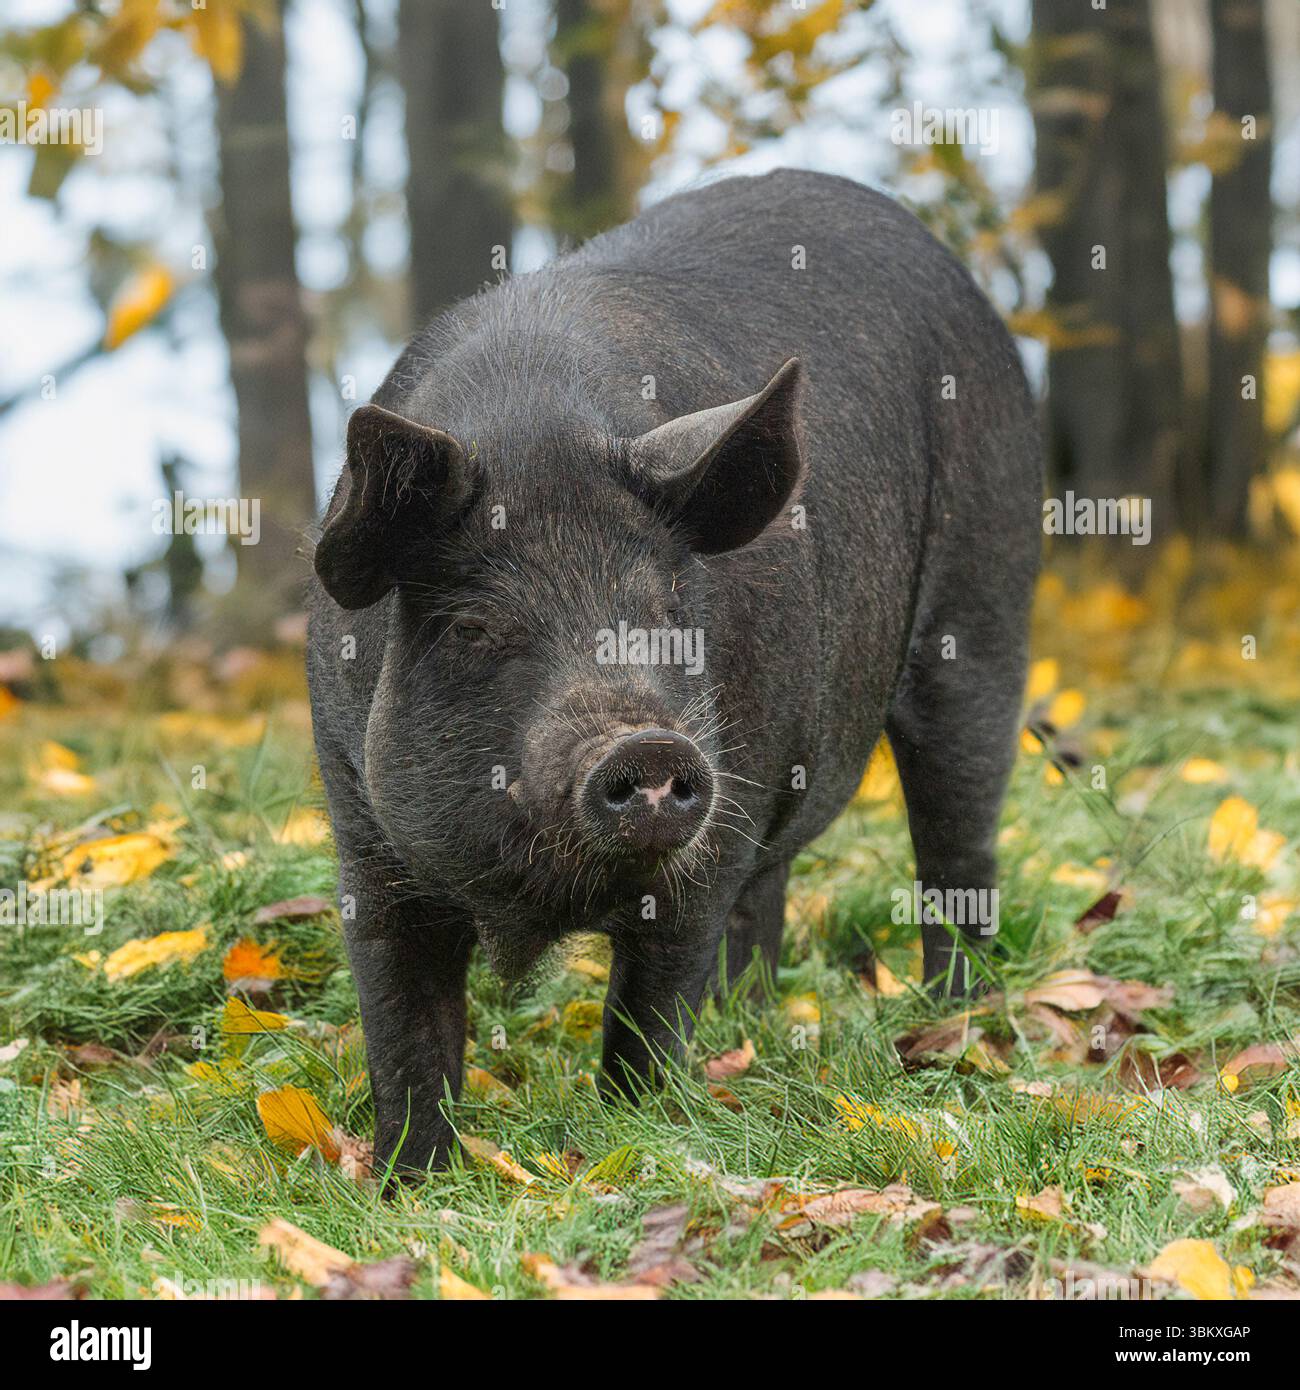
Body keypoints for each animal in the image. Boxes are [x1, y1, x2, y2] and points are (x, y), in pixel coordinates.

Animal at [307, 169, 1041, 1176]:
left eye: (664, 612)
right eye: (474, 627)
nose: (644, 743)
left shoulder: (713, 830)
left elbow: (650, 1011)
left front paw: (638, 1138)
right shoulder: (360, 823)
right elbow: (404, 1027)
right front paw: (408, 1184)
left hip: (983, 606)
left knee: (957, 842)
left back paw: (951, 1027)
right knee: (774, 891)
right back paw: (751, 1026)